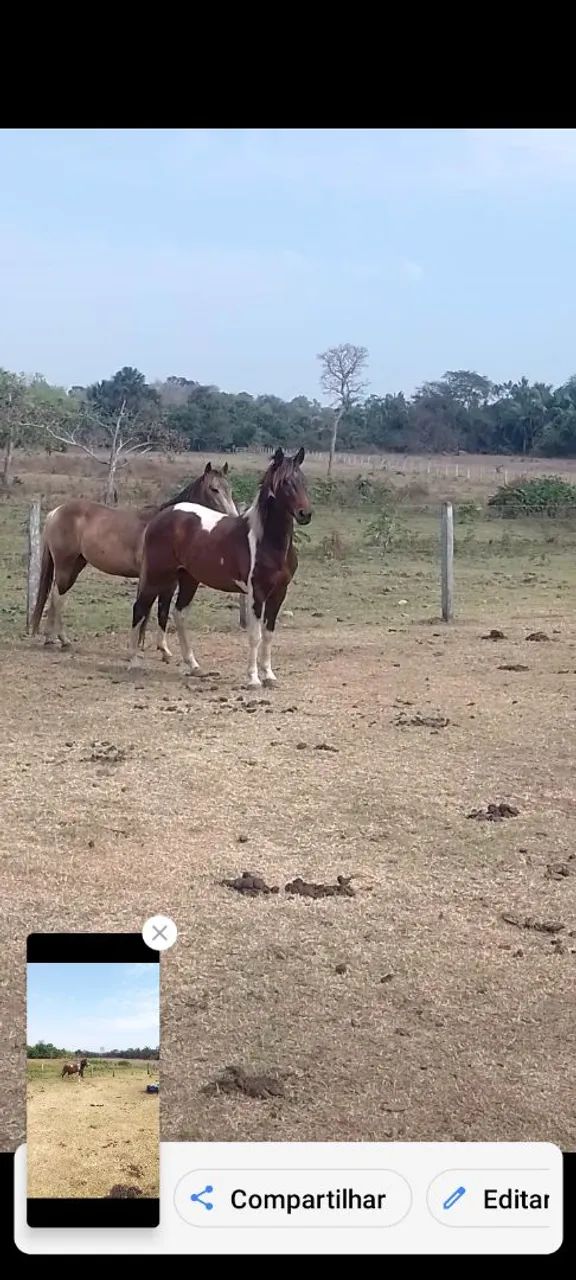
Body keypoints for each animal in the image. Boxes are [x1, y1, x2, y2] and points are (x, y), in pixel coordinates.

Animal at [30, 463, 238, 660]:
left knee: (56, 597)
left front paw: (163, 650)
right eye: (213, 489)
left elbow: (162, 611)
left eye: (229, 488)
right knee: (58, 598)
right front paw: (139, 647)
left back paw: (50, 639)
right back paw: (63, 640)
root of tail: (55, 512)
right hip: (65, 565)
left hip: (76, 565)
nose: (233, 517)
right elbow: (146, 610)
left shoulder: (169, 582)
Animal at [129, 447, 312, 687]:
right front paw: (253, 679)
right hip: (157, 575)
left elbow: (269, 634)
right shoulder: (257, 593)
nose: (305, 514)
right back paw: (133, 662)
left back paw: (194, 666)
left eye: (302, 480)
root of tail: (162, 516)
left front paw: (270, 676)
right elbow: (255, 636)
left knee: (178, 614)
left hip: (187, 578)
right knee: (140, 609)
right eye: (284, 483)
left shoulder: (279, 593)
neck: (266, 541)